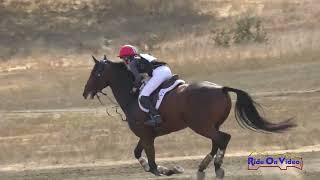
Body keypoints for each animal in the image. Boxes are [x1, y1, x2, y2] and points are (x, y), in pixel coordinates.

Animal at [82, 56, 296, 179]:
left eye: (97, 72)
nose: (85, 93)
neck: (133, 97)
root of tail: (221, 88)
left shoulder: (146, 135)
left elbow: (153, 165)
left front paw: (169, 170)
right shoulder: (146, 135)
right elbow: (138, 155)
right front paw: (168, 169)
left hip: (201, 125)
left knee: (222, 139)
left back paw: (215, 167)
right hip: (211, 125)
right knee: (217, 141)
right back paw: (203, 168)